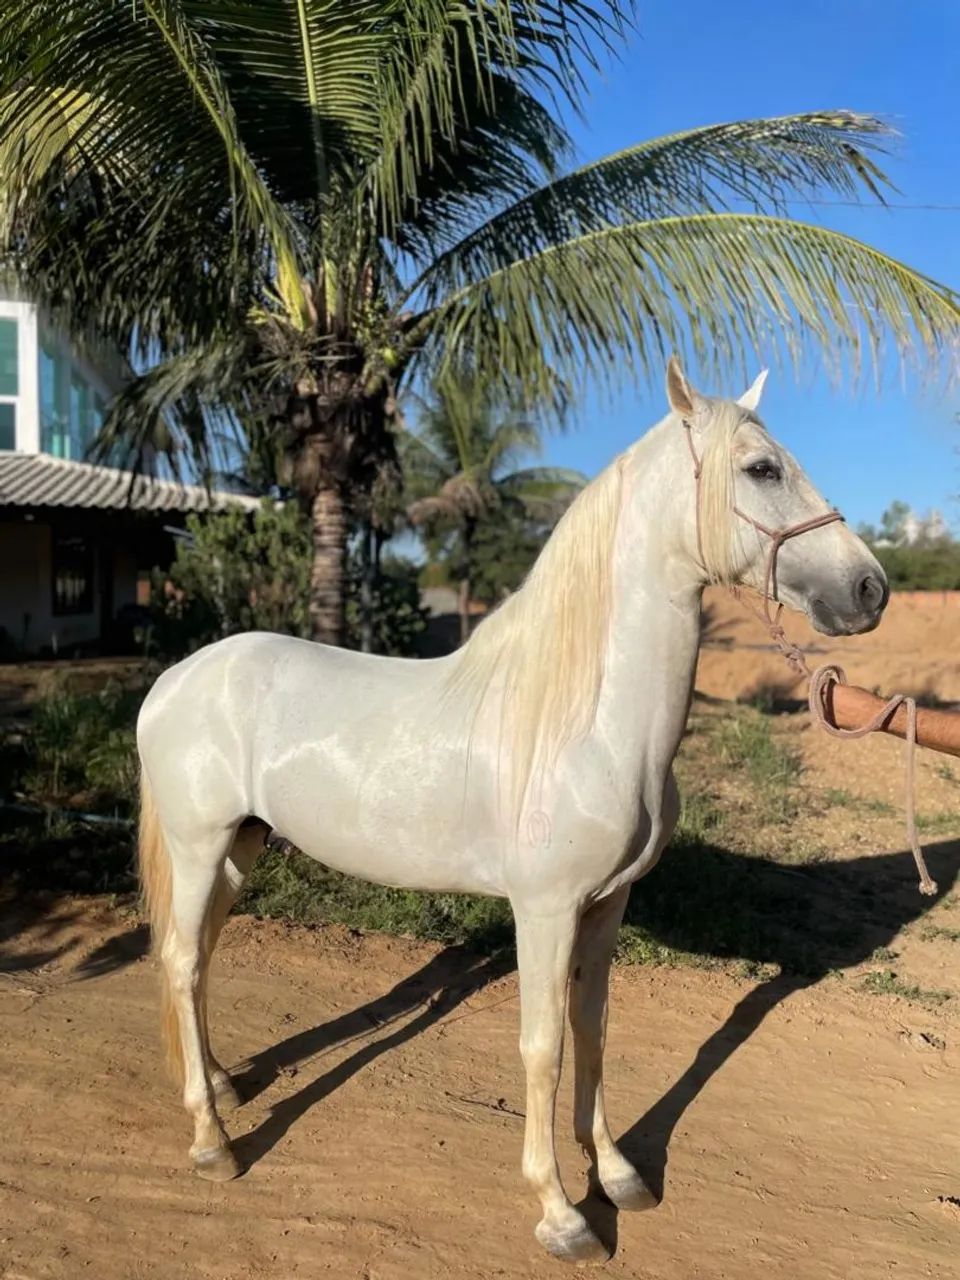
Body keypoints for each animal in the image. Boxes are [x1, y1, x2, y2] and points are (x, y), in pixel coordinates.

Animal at [137, 356, 888, 1263]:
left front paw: (619, 1175)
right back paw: (212, 1141)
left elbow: (593, 1028)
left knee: (201, 958)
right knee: (182, 962)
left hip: (239, 849)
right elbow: (543, 1047)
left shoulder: (608, 905)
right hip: (199, 845)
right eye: (762, 469)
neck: (587, 722)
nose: (870, 589)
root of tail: (174, 680)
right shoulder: (546, 909)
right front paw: (562, 1214)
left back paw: (219, 1085)